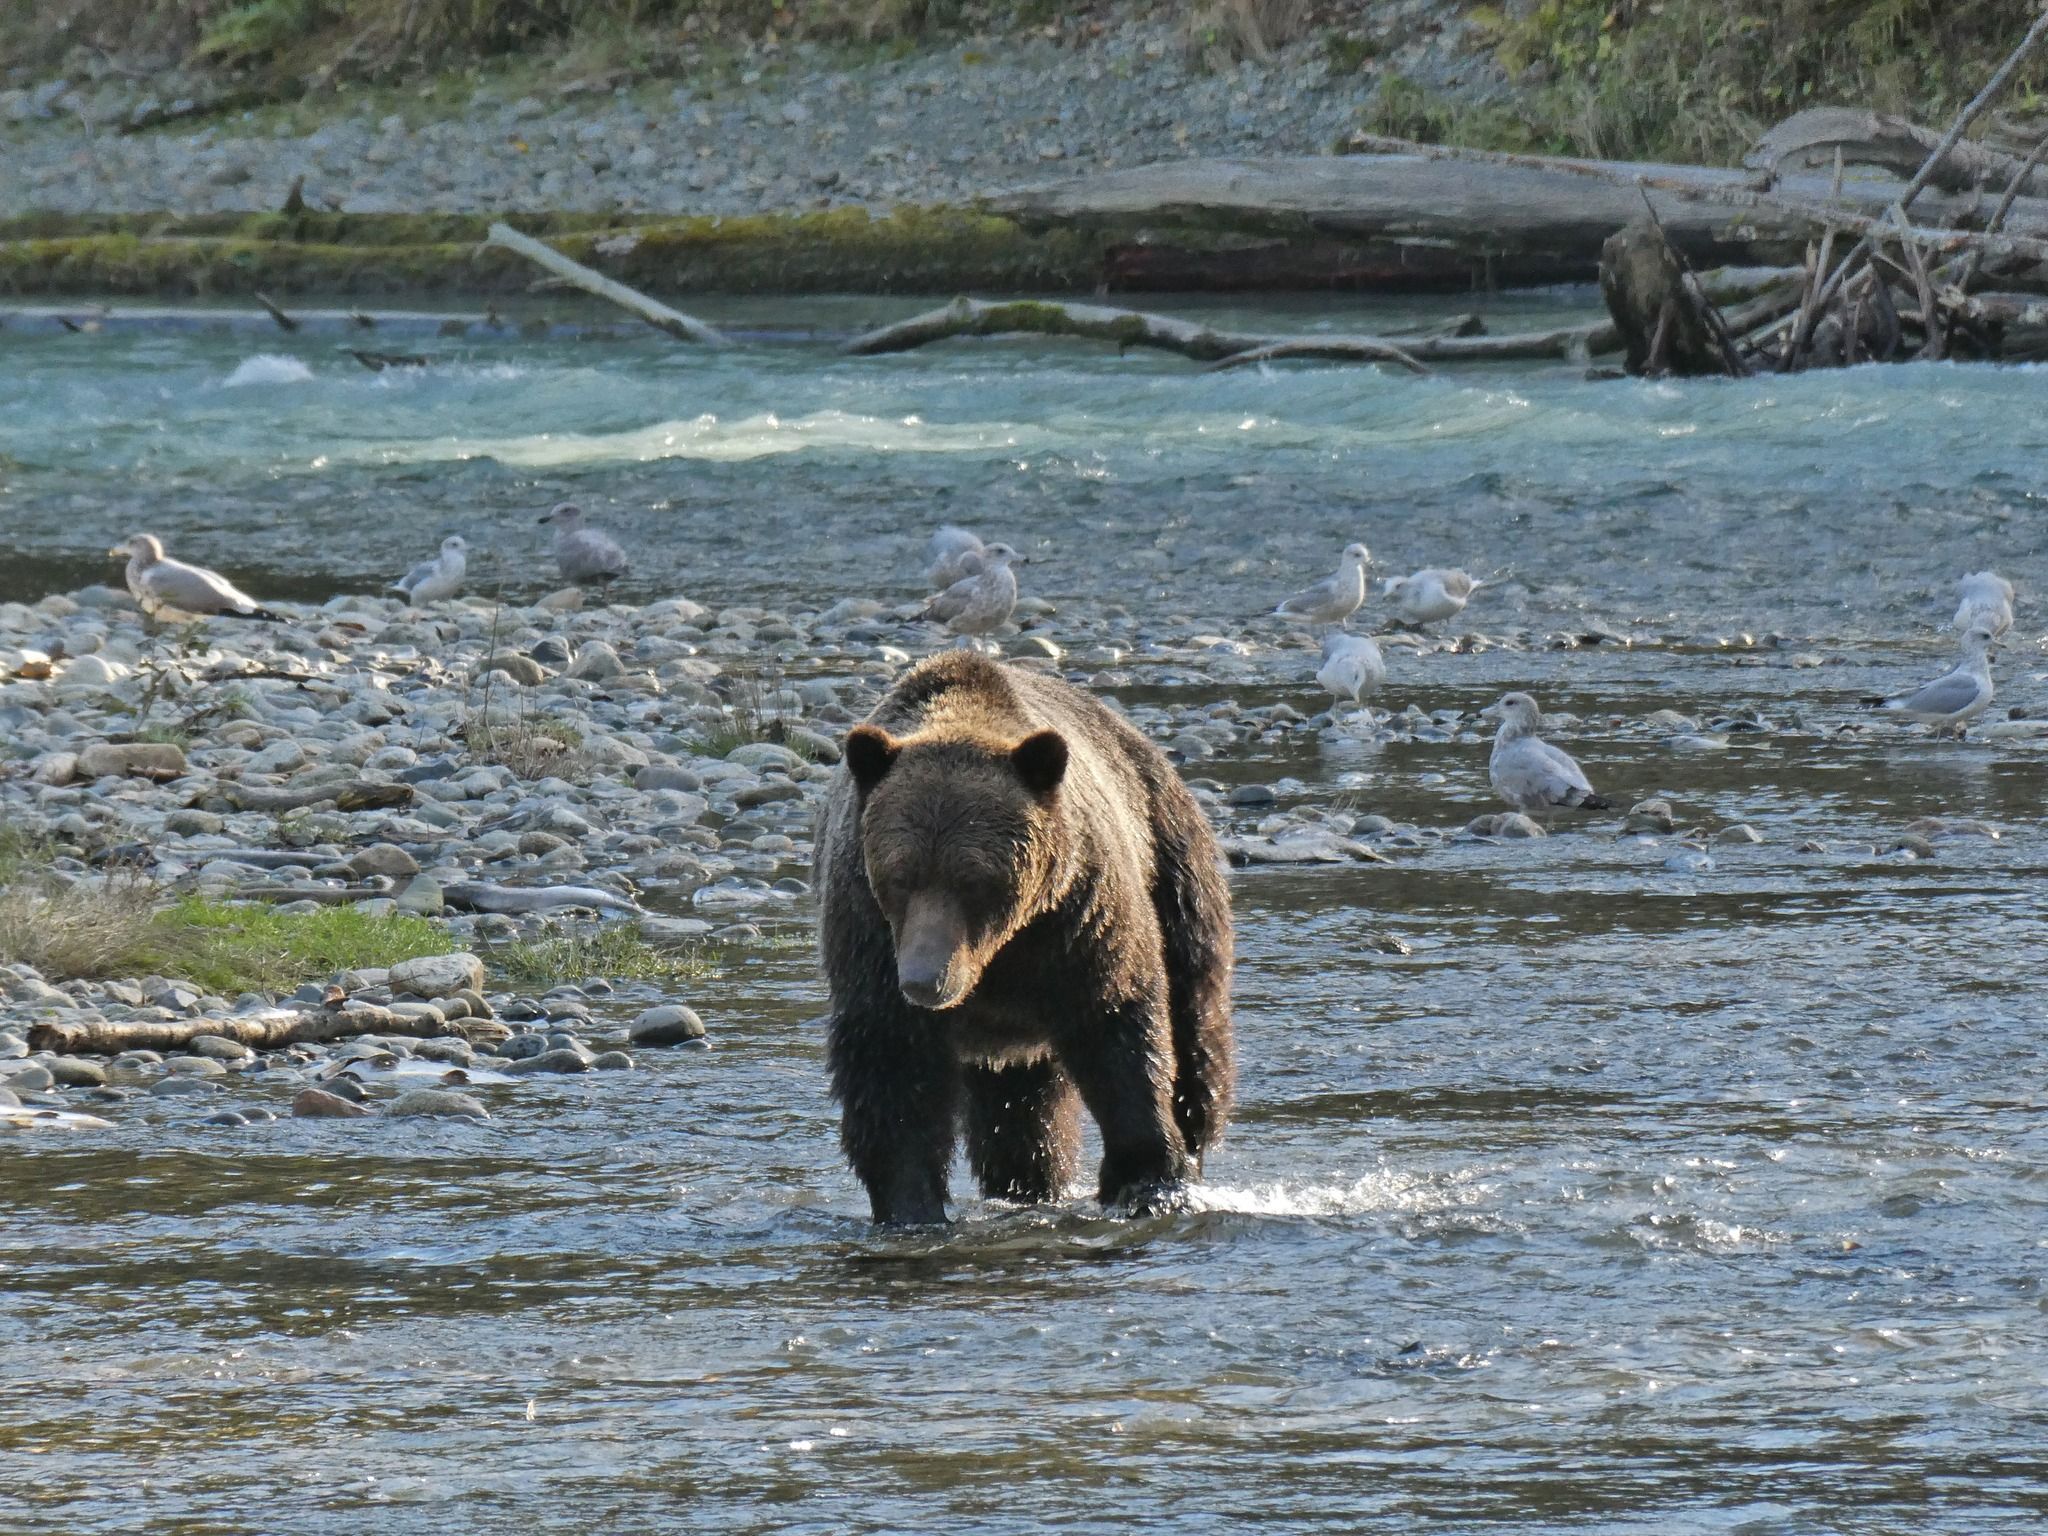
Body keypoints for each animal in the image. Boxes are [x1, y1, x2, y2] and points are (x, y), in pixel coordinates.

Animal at [817, 650, 1235, 1225]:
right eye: (900, 876)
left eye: (972, 879)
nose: (924, 980)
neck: (999, 952)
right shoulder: (871, 935)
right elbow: (891, 1068)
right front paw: (910, 1205)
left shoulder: (1078, 919)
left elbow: (1118, 1028)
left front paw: (1149, 1182)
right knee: (1023, 1108)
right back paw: (1028, 1182)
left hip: (1173, 863)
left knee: (1195, 1022)